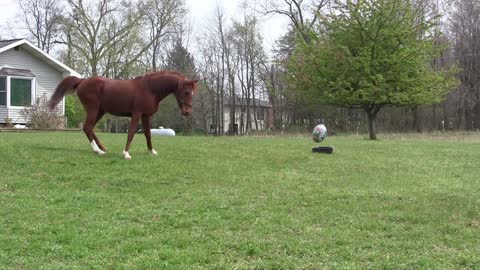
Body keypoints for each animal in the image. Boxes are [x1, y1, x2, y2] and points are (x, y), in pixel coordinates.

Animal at [48, 70, 199, 159]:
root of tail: (82, 81)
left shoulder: (145, 116)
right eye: (186, 92)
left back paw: (102, 148)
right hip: (93, 110)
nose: (187, 112)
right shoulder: (137, 114)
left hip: (100, 111)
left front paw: (152, 151)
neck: (150, 88)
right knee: (87, 127)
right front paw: (126, 154)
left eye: (193, 93)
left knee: (89, 128)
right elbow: (131, 133)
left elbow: (148, 134)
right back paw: (98, 151)